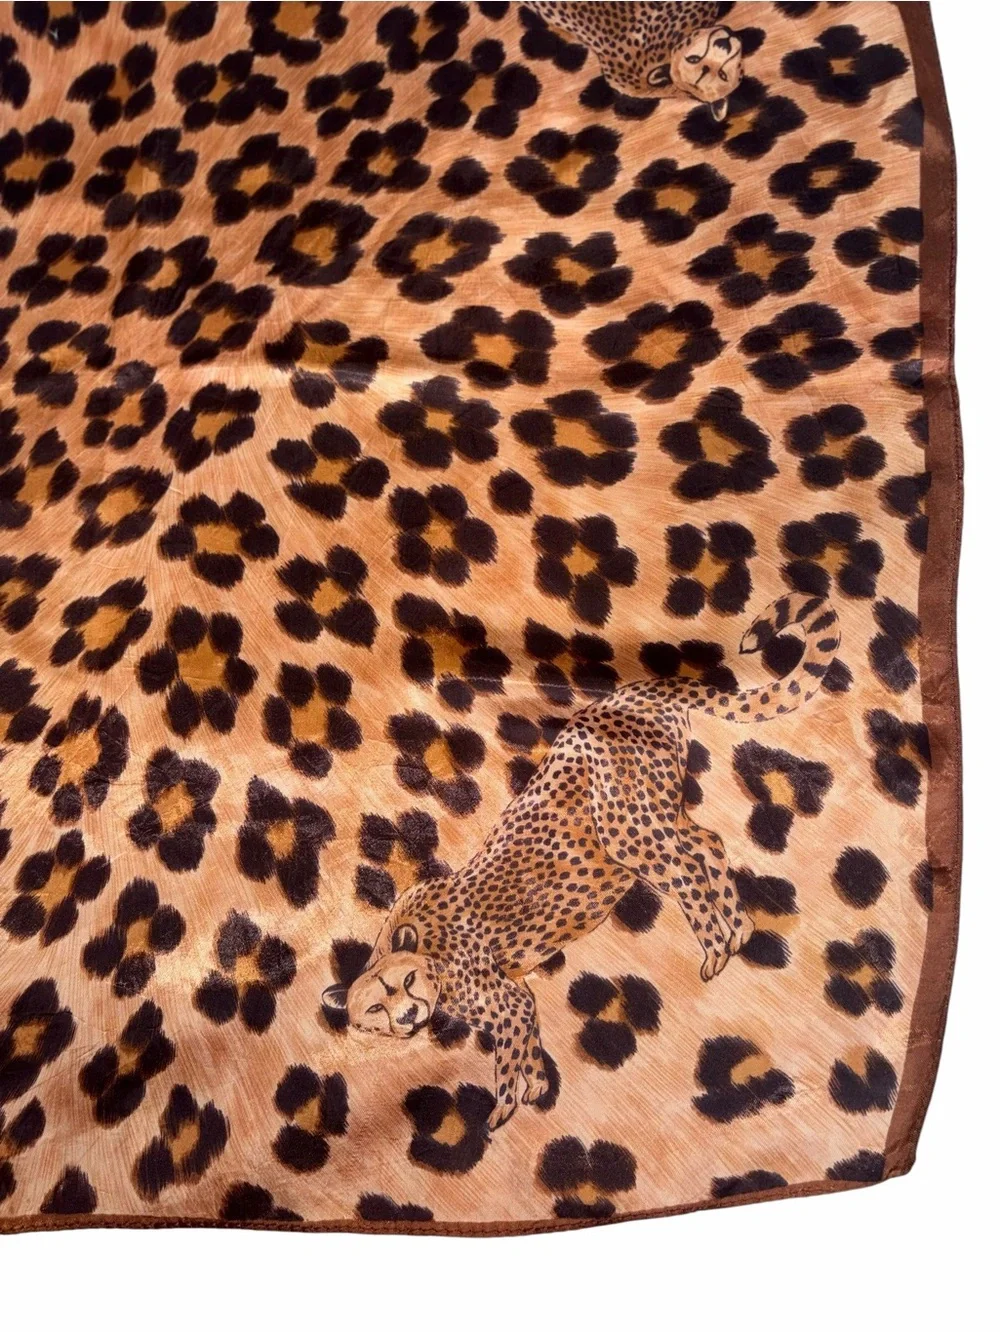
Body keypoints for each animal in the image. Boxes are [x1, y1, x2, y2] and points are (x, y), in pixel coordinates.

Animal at [324, 594, 840, 1129]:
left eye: (405, 981)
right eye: (375, 1008)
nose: (407, 1016)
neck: (420, 948)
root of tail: (623, 695)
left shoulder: (503, 998)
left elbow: (506, 1055)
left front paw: (501, 1111)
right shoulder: (518, 993)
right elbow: (526, 1041)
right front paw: (535, 1090)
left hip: (625, 828)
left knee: (686, 869)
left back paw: (719, 945)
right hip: (658, 812)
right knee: (706, 843)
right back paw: (736, 931)